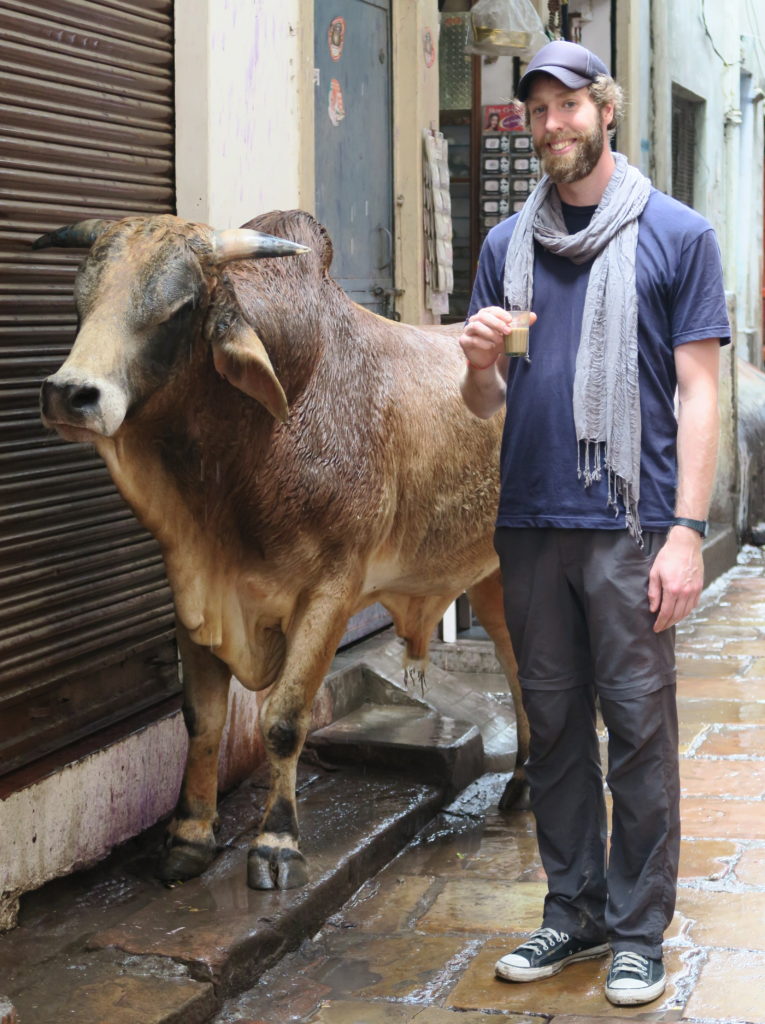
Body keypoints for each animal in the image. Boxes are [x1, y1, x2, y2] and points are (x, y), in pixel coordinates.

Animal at [34, 211, 528, 892]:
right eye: (80, 297)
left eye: (180, 307)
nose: (70, 394)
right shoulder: (193, 587)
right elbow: (203, 719)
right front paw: (190, 835)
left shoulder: (332, 592)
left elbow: (285, 720)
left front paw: (276, 841)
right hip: (493, 578)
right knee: (519, 670)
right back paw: (525, 783)